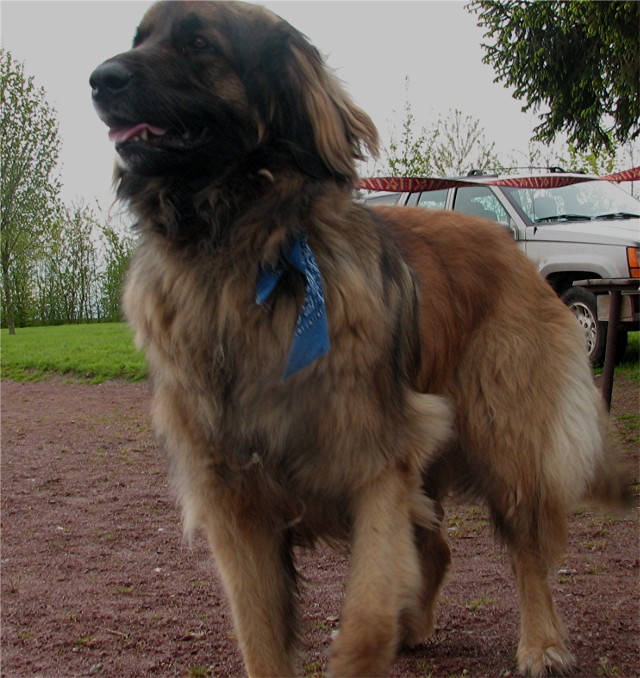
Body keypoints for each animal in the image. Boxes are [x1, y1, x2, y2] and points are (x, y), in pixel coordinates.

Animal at [90, 2, 632, 676]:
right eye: (139, 38)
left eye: (199, 44)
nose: (99, 79)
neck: (242, 250)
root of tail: (506, 239)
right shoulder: (235, 494)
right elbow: (260, 631)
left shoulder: (376, 459)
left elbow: (367, 615)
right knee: (439, 548)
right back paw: (419, 625)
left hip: (506, 434)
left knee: (526, 544)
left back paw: (541, 644)